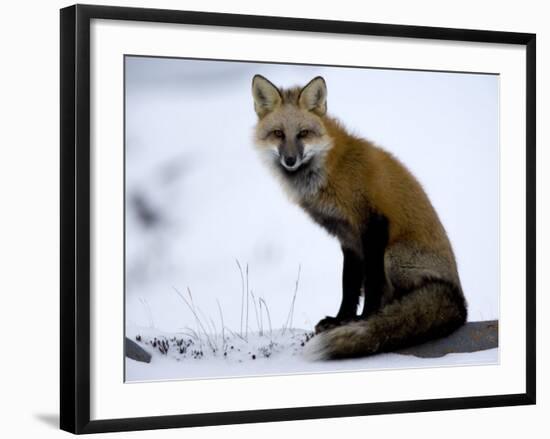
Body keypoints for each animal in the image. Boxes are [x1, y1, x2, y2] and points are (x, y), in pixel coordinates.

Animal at [252, 74, 468, 360]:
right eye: (278, 133)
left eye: (303, 133)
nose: (290, 160)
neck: (330, 169)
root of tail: (461, 304)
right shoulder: (348, 238)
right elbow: (349, 285)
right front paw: (340, 319)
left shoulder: (373, 225)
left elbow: (371, 285)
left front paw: (366, 320)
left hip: (392, 256)